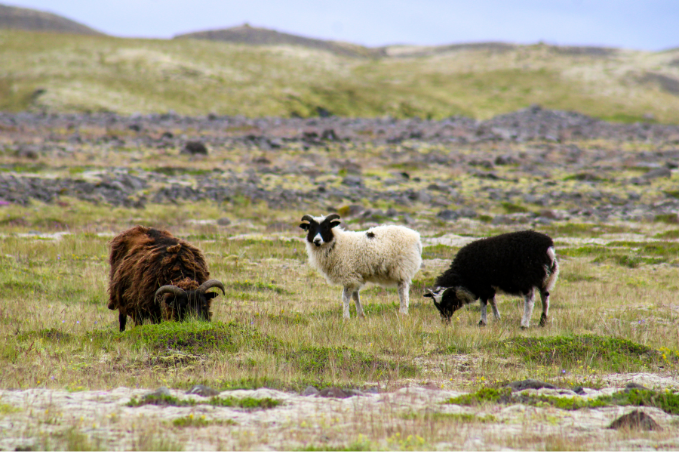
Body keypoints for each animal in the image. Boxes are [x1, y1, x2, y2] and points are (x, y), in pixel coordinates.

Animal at [424, 230, 559, 328]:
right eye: (437, 305)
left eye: (447, 301)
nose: (445, 321)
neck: (463, 275)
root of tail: (548, 248)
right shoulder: (489, 286)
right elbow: (492, 301)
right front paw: (497, 318)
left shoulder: (482, 286)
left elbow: (484, 303)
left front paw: (482, 322)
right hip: (547, 280)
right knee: (545, 298)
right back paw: (542, 322)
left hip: (527, 280)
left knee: (530, 301)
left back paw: (524, 324)